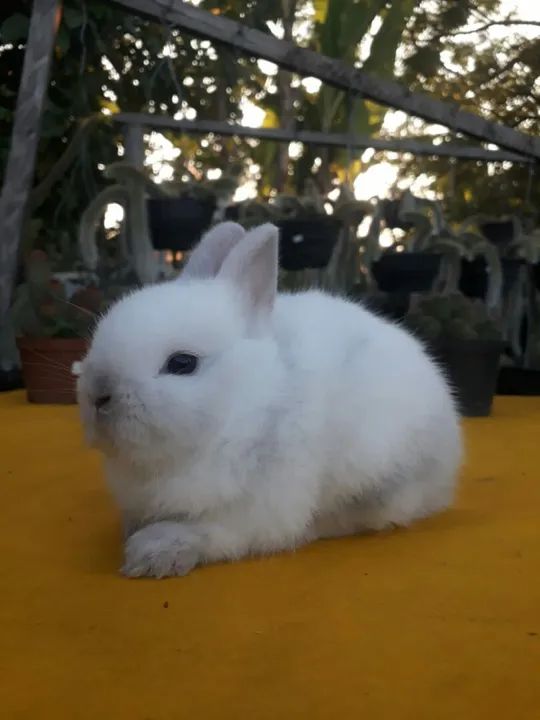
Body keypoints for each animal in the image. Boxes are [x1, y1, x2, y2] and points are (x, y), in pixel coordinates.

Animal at [77, 221, 462, 578]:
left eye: (182, 363)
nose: (99, 394)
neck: (243, 409)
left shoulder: (256, 508)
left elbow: (214, 531)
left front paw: (154, 552)